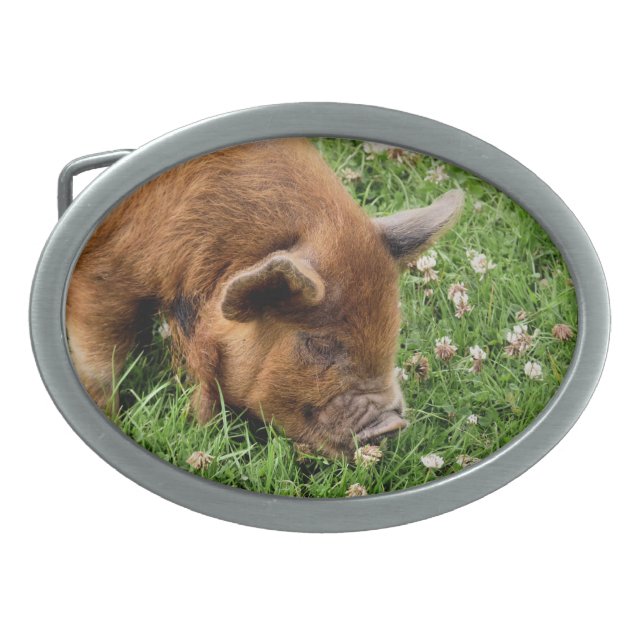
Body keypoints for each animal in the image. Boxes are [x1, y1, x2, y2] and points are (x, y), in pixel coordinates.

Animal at [66, 138, 463, 457]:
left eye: (392, 331)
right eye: (318, 343)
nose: (392, 425)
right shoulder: (103, 276)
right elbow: (100, 362)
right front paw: (115, 417)